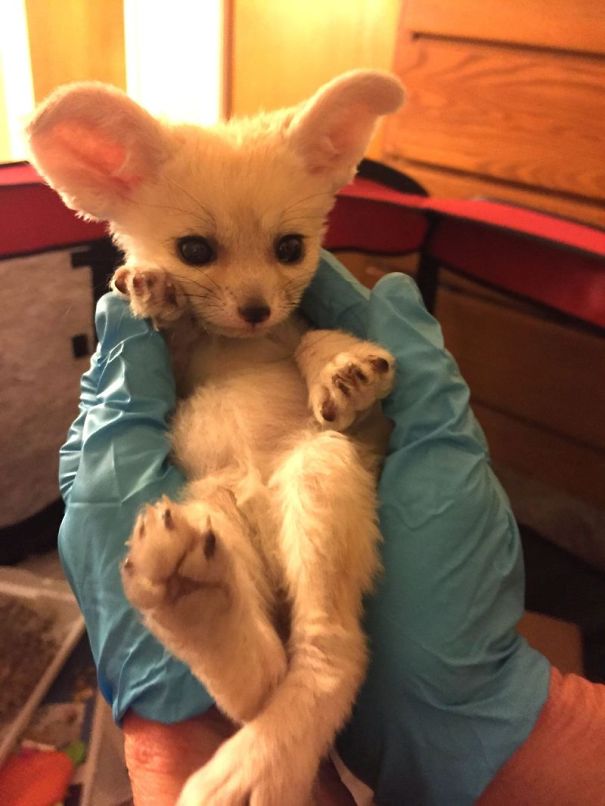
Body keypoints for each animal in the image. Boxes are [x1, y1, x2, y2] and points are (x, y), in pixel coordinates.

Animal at [27, 70, 404, 805]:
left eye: (291, 249)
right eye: (194, 252)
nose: (257, 309)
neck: (236, 343)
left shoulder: (363, 427)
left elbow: (310, 338)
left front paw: (340, 368)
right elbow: (169, 330)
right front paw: (155, 291)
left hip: (317, 469)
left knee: (326, 654)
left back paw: (253, 760)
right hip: (207, 506)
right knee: (264, 676)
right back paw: (191, 599)